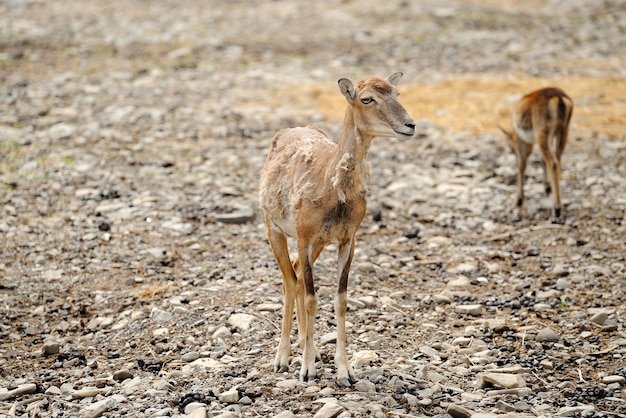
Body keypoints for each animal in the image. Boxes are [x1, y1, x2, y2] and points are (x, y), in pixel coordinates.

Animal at [258, 72, 414, 386]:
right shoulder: (304, 236)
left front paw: (345, 371)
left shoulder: (347, 239)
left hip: (318, 243)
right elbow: (311, 298)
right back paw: (283, 358)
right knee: (290, 280)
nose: (410, 125)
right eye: (367, 98)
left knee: (295, 272)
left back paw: (309, 348)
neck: (332, 190)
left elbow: (340, 300)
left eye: (397, 93)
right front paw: (306, 370)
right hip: (274, 230)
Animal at [500, 86, 572, 220]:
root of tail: (558, 97)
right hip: (563, 131)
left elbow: (521, 165)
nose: (511, 150)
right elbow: (542, 161)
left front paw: (518, 201)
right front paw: (547, 187)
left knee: (552, 163)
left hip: (542, 134)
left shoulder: (520, 142)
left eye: (511, 147)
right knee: (557, 160)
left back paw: (556, 209)